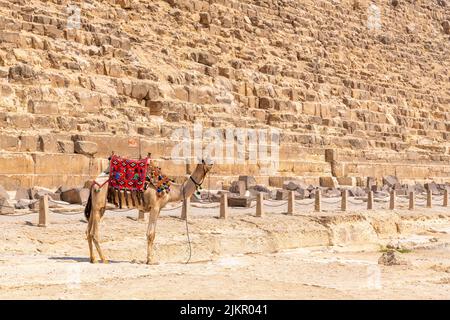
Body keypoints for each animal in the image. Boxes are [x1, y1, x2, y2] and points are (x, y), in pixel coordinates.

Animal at [85, 156, 214, 264]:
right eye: (204, 160)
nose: (212, 162)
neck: (171, 190)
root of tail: (94, 183)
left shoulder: (159, 209)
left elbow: (153, 233)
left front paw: (149, 259)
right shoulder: (155, 207)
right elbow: (151, 234)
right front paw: (150, 260)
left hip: (97, 208)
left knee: (88, 232)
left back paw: (93, 259)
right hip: (99, 205)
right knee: (94, 233)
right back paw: (104, 259)